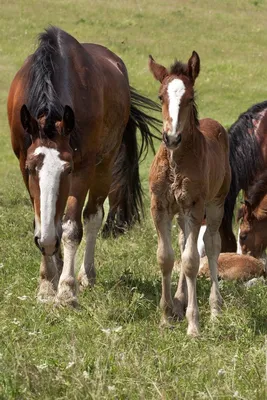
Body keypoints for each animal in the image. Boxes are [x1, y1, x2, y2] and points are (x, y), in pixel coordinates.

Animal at [6, 26, 161, 304]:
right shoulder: (23, 161)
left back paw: (86, 275)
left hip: (104, 168)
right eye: (32, 169)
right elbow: (42, 220)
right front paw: (47, 283)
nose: (47, 243)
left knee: (92, 217)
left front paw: (66, 289)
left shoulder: (82, 169)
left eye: (67, 169)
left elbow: (72, 228)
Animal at [150, 51, 231, 336]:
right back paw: (179, 299)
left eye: (190, 98)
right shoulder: (159, 206)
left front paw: (193, 324)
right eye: (160, 97)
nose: (171, 137)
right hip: (180, 214)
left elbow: (191, 261)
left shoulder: (195, 206)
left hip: (215, 204)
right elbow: (166, 257)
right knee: (184, 241)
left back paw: (216, 309)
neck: (176, 161)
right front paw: (165, 316)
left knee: (212, 245)